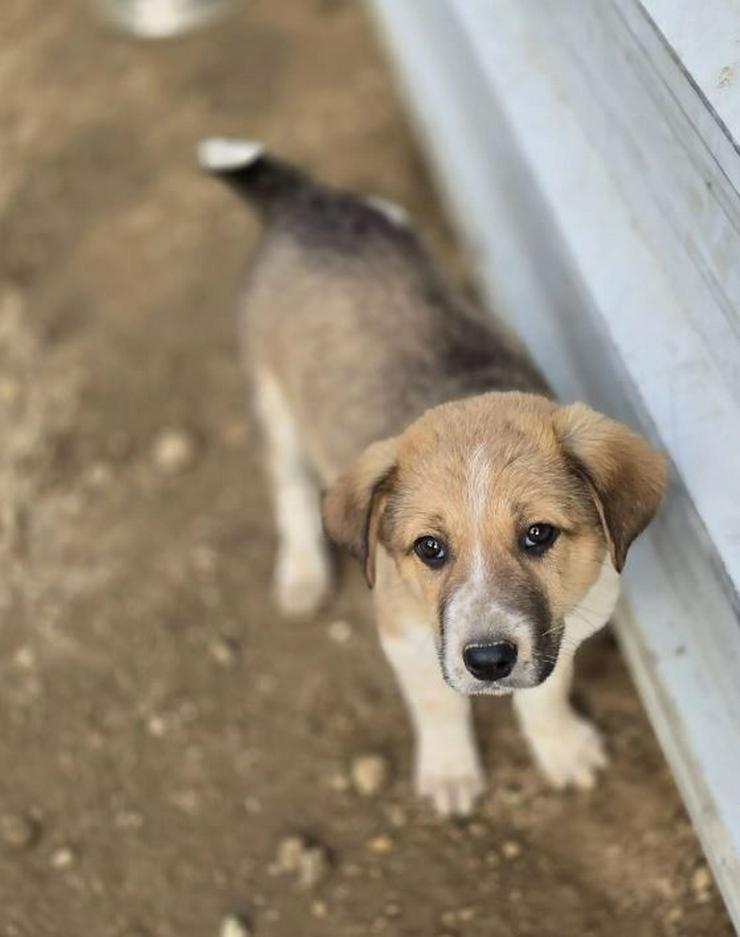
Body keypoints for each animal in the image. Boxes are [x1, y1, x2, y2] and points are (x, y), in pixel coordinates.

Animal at [199, 135, 668, 816]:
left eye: (539, 535)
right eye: (429, 548)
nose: (489, 660)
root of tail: (305, 202)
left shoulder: (573, 625)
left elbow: (546, 692)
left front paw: (561, 748)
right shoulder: (403, 633)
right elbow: (438, 706)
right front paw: (450, 771)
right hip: (273, 397)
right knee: (290, 490)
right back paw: (302, 574)